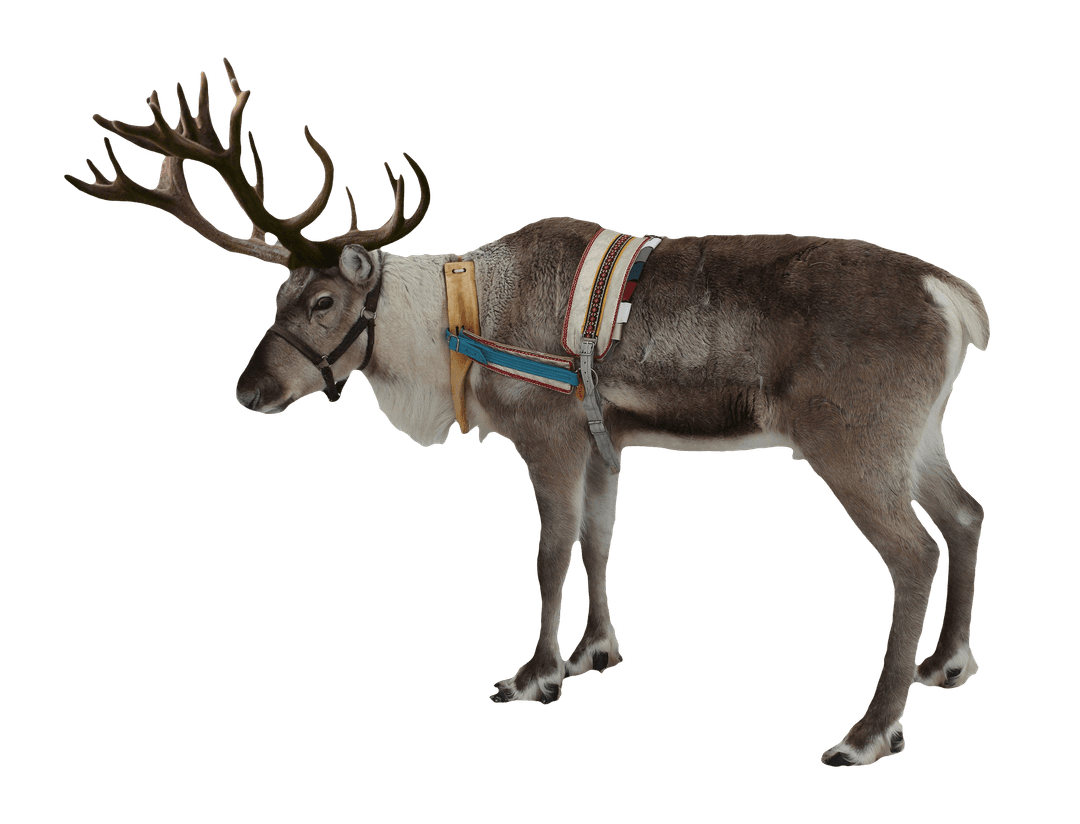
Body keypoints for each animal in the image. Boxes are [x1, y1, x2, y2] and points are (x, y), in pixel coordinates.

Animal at [66, 59, 990, 767]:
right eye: (276, 297)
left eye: (322, 300)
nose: (247, 390)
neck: (453, 324)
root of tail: (954, 296)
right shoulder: (607, 439)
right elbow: (598, 541)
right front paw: (592, 652)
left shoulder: (545, 433)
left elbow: (547, 554)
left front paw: (532, 675)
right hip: (921, 435)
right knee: (968, 514)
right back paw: (947, 663)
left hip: (854, 440)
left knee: (913, 553)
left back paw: (868, 732)